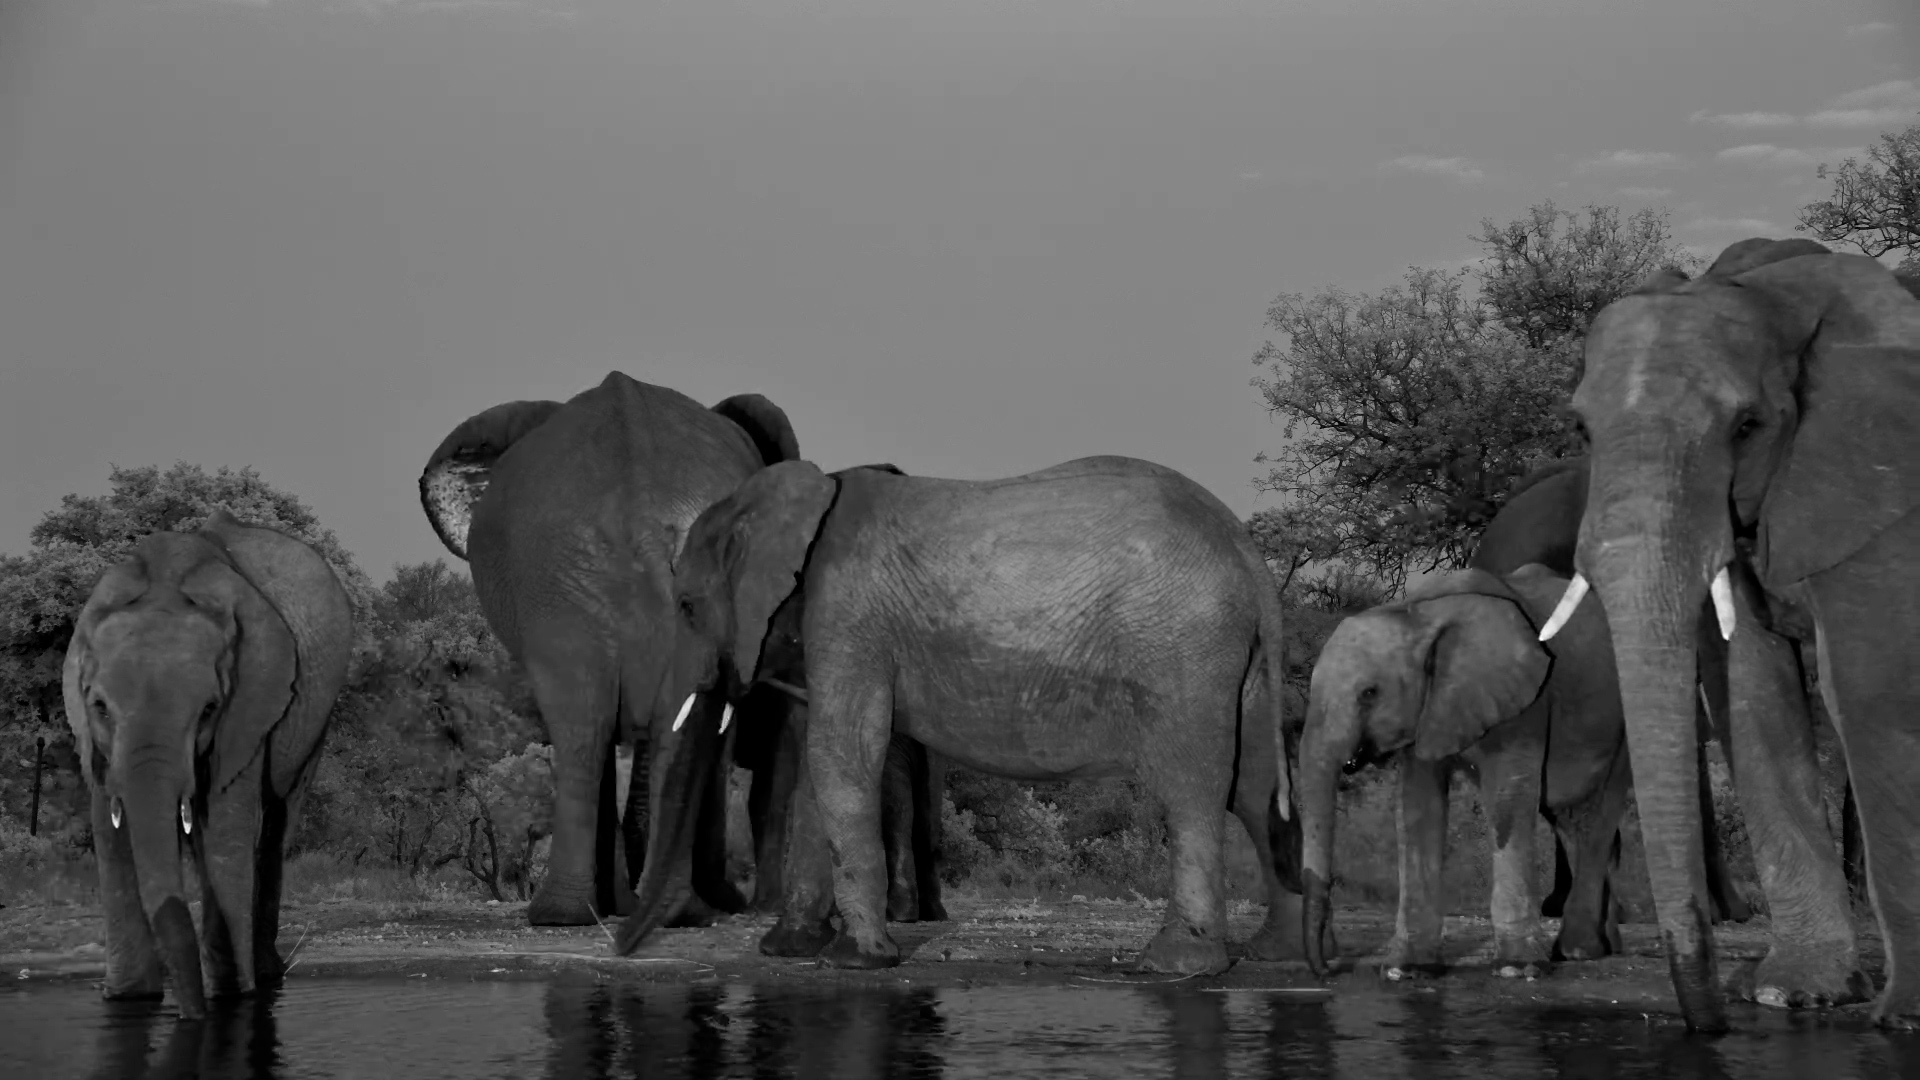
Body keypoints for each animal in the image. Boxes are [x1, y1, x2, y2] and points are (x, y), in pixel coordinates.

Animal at [63, 509, 353, 1020]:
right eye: (99, 707)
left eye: (209, 710)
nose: (190, 1016)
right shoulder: (96, 745)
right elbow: (110, 832)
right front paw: (129, 999)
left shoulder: (249, 703)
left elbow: (223, 830)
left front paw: (232, 998)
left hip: (318, 712)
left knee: (278, 821)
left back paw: (265, 974)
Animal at [419, 371, 803, 927]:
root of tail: (642, 508)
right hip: (565, 584)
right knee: (591, 723)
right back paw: (633, 910)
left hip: (564, 588)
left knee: (584, 724)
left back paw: (583, 912)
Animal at [618, 454, 1303, 975]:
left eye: (686, 606)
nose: (623, 946)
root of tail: (1246, 551)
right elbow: (823, 770)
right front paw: (789, 952)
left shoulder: (848, 619)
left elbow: (844, 755)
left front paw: (857, 961)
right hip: (1231, 659)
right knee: (1254, 785)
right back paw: (1276, 955)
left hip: (1182, 648)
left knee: (1191, 786)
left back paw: (1175, 965)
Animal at [1301, 563, 1645, 982]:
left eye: (1369, 693)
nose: (1326, 969)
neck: (1420, 614)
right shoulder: (1428, 709)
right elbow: (1418, 807)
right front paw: (1406, 970)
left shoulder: (1525, 701)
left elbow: (1507, 803)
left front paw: (1517, 968)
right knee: (1569, 820)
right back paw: (1603, 946)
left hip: (1624, 721)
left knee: (1598, 816)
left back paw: (1577, 950)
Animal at [1542, 237, 1919, 1030]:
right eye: (1582, 429)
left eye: (1747, 427)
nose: (1708, 1025)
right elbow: (1752, 688)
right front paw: (1797, 992)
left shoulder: (1885, 492)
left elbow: (1868, 691)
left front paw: (1902, 1016)